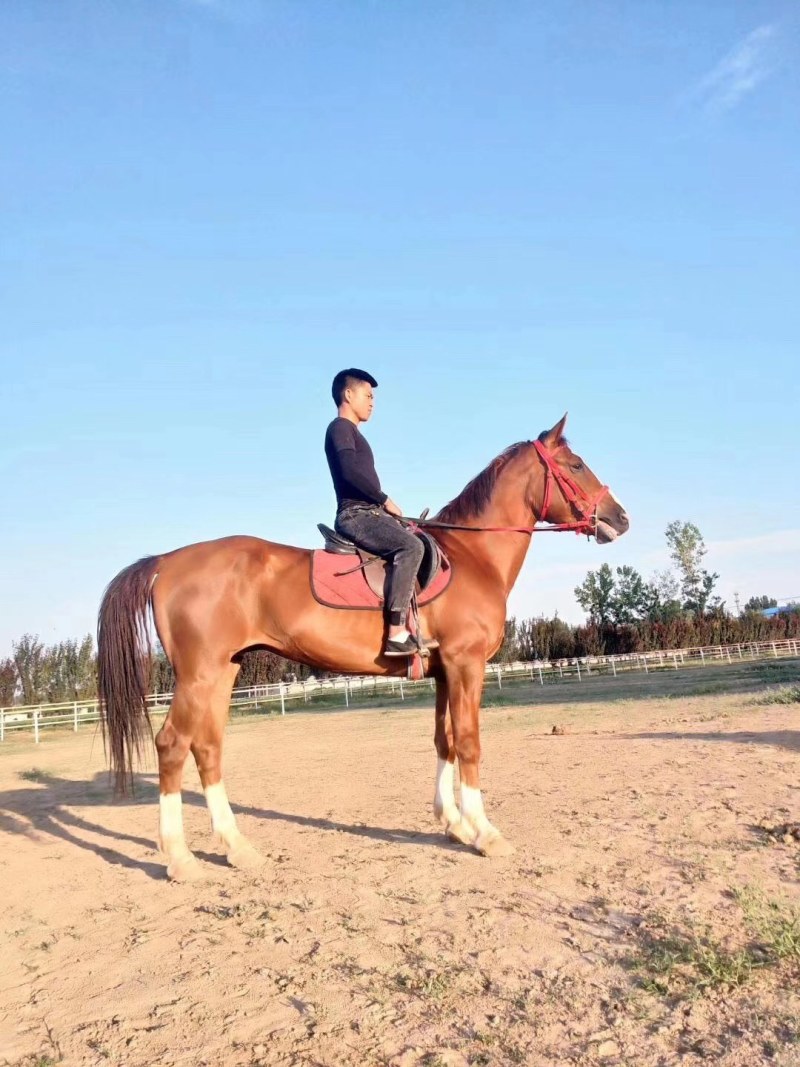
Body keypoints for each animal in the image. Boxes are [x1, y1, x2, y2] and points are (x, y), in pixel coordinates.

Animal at [97, 414, 629, 881]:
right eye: (576, 465)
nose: (620, 518)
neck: (471, 556)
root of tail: (167, 561)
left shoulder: (444, 671)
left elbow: (445, 741)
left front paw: (453, 824)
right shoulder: (466, 665)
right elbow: (470, 743)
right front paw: (485, 833)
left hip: (223, 672)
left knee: (206, 747)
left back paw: (238, 848)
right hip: (199, 674)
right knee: (172, 745)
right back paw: (181, 859)